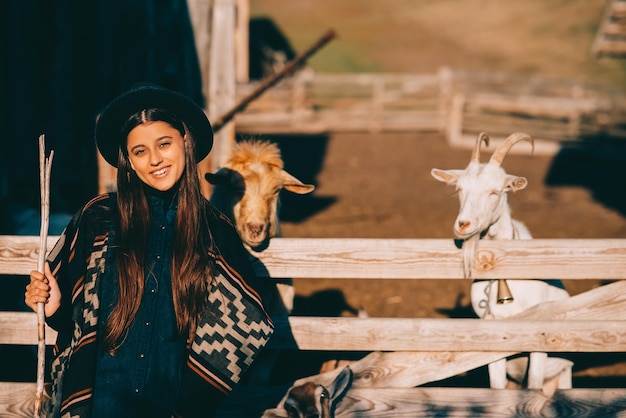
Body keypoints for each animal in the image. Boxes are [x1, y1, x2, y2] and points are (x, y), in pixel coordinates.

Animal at [428, 132, 572, 394]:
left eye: (496, 191)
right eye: (459, 188)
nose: (462, 224)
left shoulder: (539, 336)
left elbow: (533, 386)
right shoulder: (493, 335)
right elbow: (496, 387)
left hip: (565, 373)